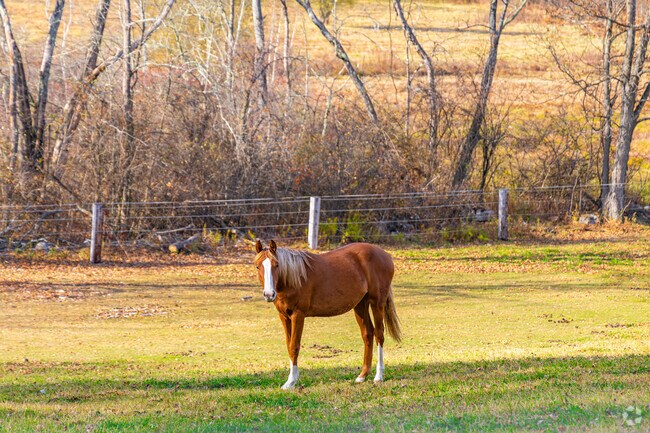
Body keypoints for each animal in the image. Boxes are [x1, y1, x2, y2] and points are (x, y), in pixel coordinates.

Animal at [254, 239, 401, 389]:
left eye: (276, 265)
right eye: (257, 266)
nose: (269, 294)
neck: (293, 278)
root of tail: (386, 255)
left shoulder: (298, 315)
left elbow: (294, 346)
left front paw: (291, 382)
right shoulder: (284, 316)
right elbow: (289, 345)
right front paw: (290, 380)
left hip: (377, 303)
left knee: (379, 335)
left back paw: (378, 376)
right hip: (360, 305)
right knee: (368, 334)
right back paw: (362, 376)